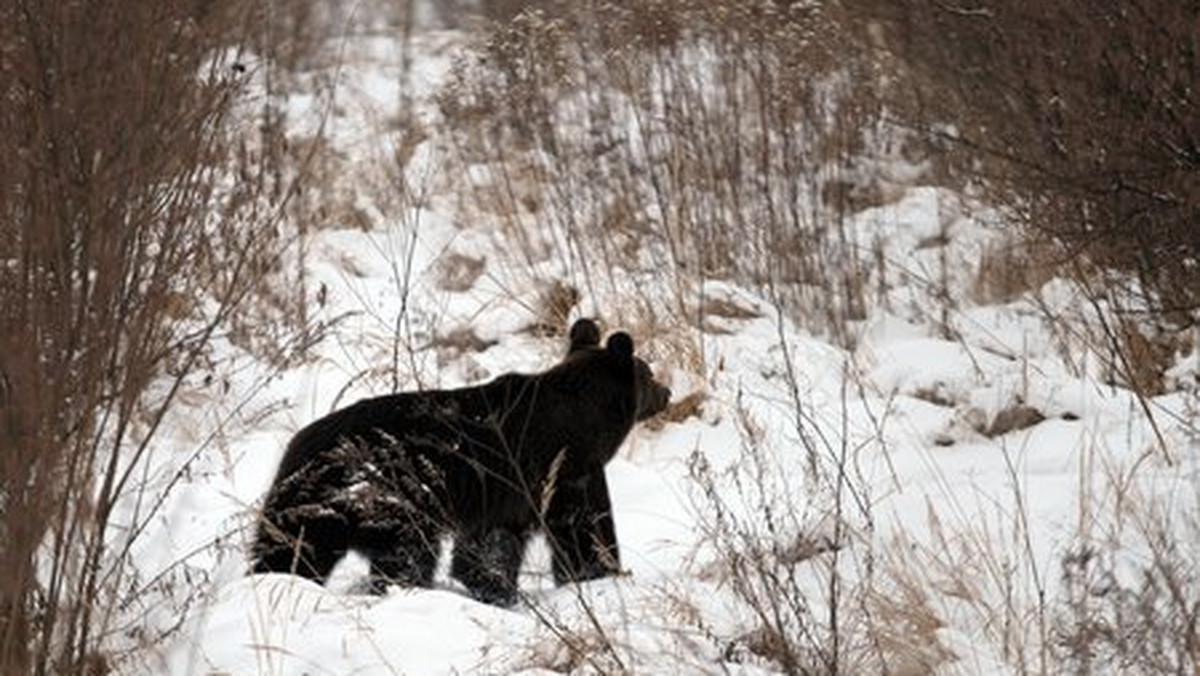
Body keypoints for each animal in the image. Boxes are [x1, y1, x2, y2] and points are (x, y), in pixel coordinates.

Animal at [249, 319, 672, 605]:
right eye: (648, 372)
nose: (667, 392)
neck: (583, 425)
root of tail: (295, 449)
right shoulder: (543, 472)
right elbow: (572, 530)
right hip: (389, 500)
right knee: (406, 554)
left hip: (322, 508)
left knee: (293, 550)